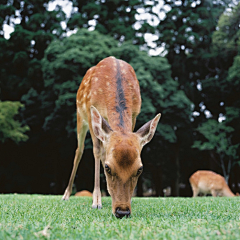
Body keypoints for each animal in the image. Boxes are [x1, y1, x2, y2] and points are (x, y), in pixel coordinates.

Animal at [61, 55, 161, 218]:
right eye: (107, 168)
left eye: (140, 169)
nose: (122, 211)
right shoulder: (90, 112)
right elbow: (95, 151)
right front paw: (96, 201)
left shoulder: (134, 115)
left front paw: (129, 198)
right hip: (80, 116)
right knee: (80, 151)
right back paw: (66, 195)